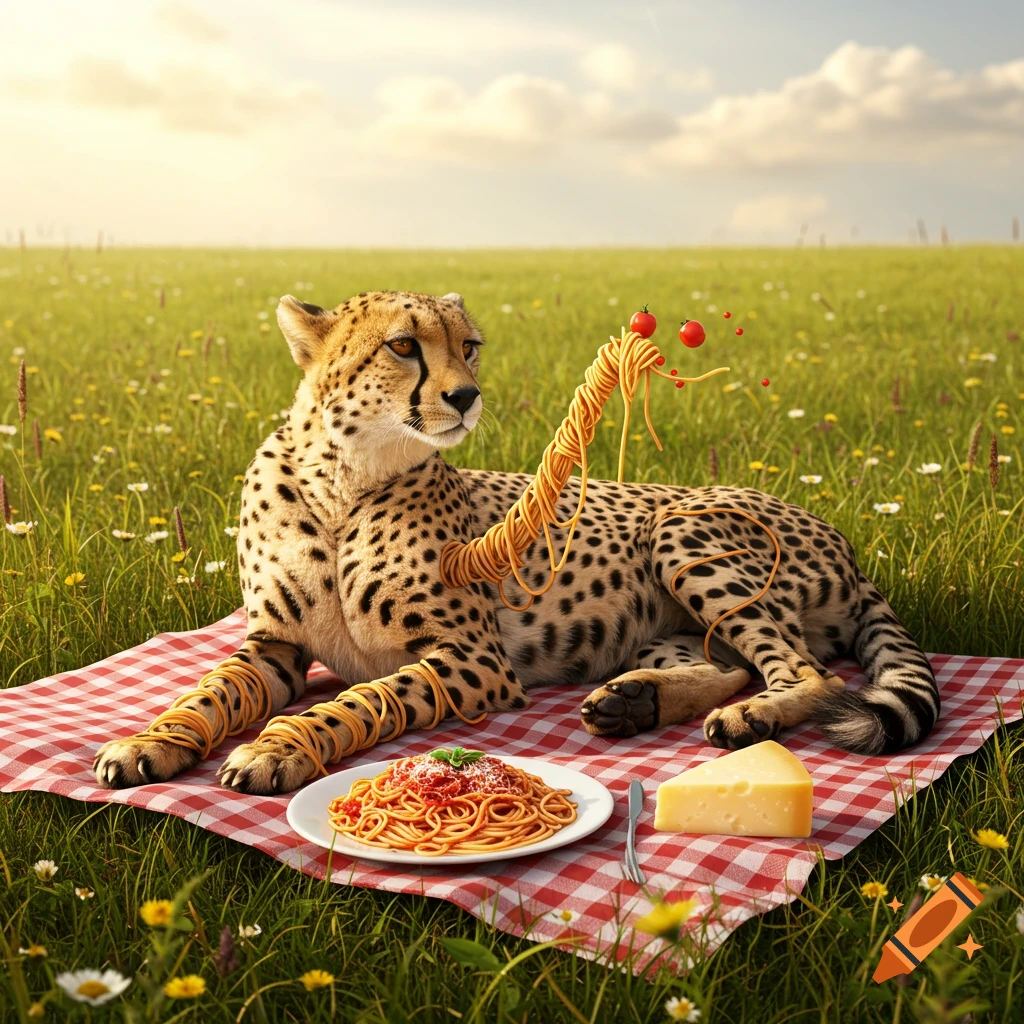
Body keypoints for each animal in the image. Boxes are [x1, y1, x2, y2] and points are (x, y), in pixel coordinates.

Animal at [93, 290, 940, 794]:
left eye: (469, 345)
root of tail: (844, 539)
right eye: (403, 346)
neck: (344, 479)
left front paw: (281, 748)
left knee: (803, 668)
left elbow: (362, 698)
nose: (467, 396)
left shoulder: (472, 661)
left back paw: (748, 720)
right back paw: (637, 702)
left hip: (680, 530)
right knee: (733, 663)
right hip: (658, 622)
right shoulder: (273, 647)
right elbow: (208, 691)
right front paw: (149, 741)